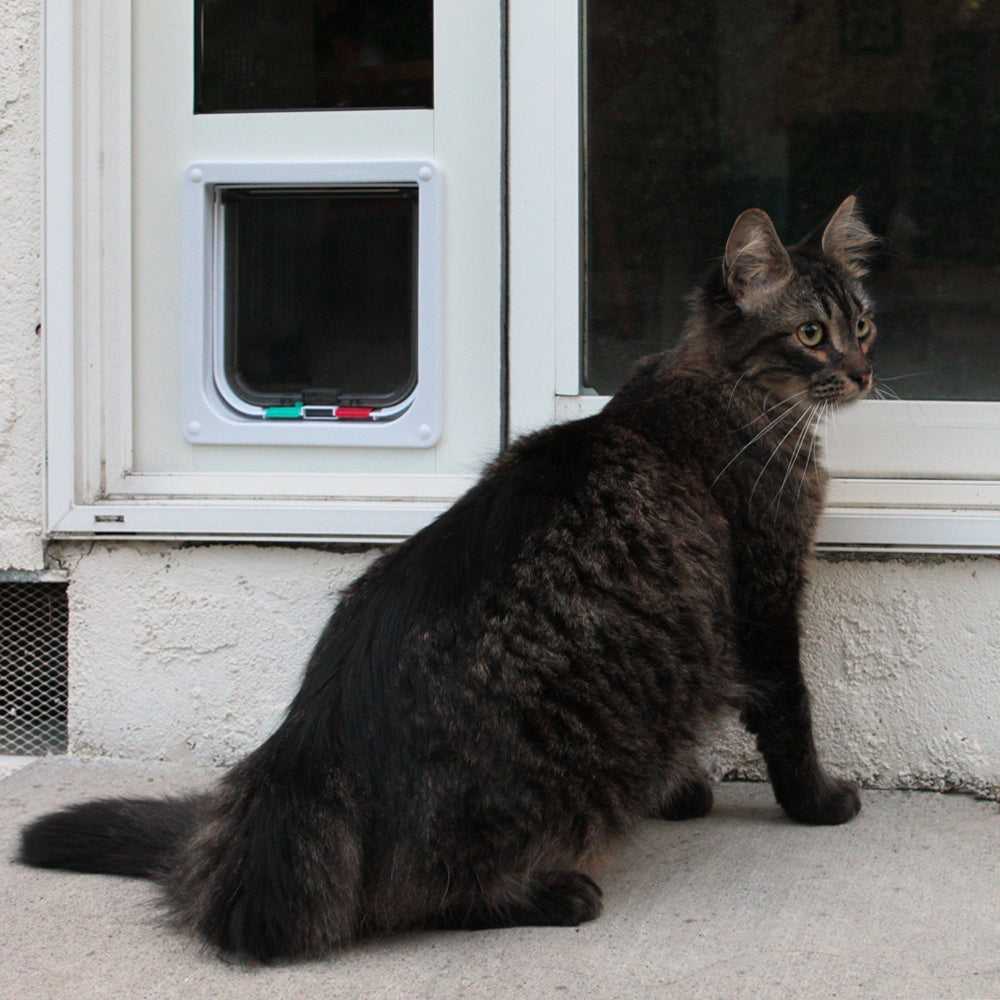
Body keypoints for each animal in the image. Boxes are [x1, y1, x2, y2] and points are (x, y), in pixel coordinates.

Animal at [15, 193, 876, 960]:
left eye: (862, 326)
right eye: (811, 334)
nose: (865, 373)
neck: (724, 389)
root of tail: (305, 756)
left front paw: (684, 791)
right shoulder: (766, 597)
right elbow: (790, 715)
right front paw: (817, 802)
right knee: (423, 896)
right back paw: (555, 893)